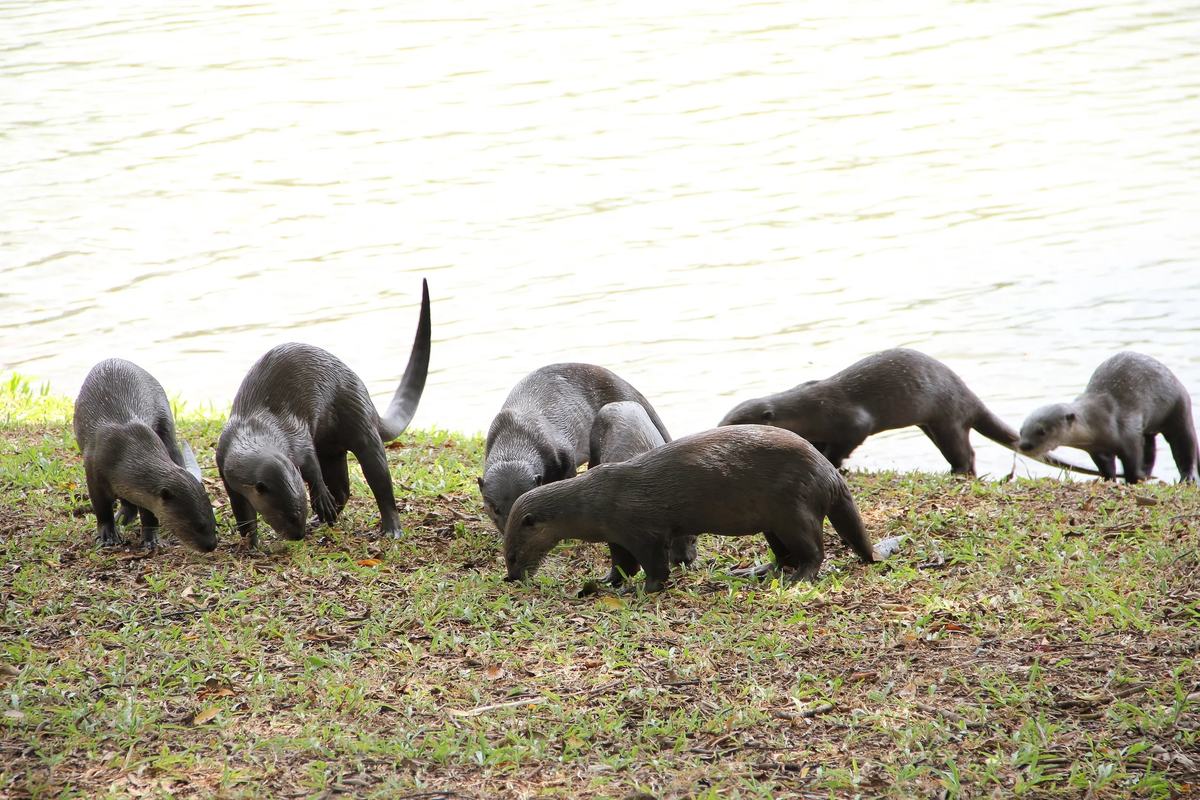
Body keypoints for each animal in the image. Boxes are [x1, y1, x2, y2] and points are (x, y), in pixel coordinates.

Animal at [73, 359, 217, 552]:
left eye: (213, 521)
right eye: (198, 525)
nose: (212, 545)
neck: (122, 454)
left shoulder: (145, 493)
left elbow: (148, 514)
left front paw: (151, 539)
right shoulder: (94, 473)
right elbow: (102, 510)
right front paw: (107, 536)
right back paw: (122, 517)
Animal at [216, 279, 431, 547]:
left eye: (300, 509)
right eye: (288, 515)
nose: (298, 535)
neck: (254, 429)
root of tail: (364, 393)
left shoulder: (297, 436)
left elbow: (312, 467)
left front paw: (319, 499)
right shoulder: (224, 468)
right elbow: (242, 511)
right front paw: (251, 541)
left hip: (358, 420)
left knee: (379, 479)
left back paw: (390, 528)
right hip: (331, 448)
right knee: (343, 489)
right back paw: (323, 520)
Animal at [503, 425, 878, 593]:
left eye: (512, 554)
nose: (512, 576)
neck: (596, 502)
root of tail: (828, 472)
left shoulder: (641, 530)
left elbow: (655, 567)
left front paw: (641, 588)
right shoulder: (616, 536)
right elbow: (621, 564)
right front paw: (607, 581)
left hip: (794, 510)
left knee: (814, 552)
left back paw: (798, 578)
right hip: (774, 521)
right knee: (782, 555)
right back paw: (755, 571)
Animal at [719, 348, 1103, 476]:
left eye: (731, 422)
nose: (716, 426)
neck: (811, 409)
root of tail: (968, 394)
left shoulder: (850, 420)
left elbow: (845, 442)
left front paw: (835, 461)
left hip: (947, 417)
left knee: (966, 452)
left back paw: (958, 472)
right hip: (931, 424)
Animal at [1018, 351, 1198, 483]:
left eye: (1042, 431)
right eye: (1021, 431)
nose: (1024, 445)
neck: (1099, 421)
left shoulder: (1129, 435)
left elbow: (1132, 462)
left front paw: (1132, 480)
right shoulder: (1096, 450)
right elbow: (1106, 467)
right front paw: (1108, 480)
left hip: (1179, 408)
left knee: (1185, 446)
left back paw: (1187, 478)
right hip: (1149, 429)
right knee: (1150, 449)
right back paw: (1146, 473)